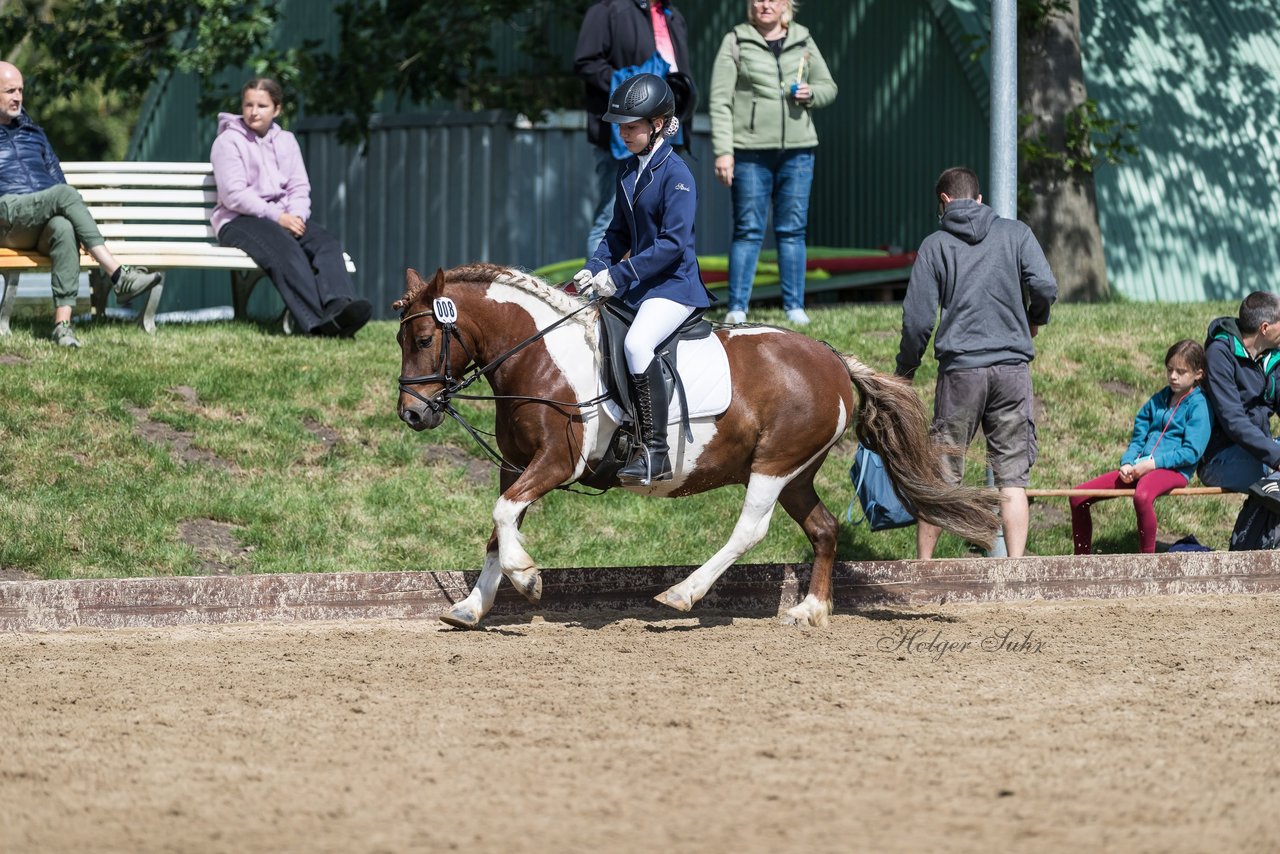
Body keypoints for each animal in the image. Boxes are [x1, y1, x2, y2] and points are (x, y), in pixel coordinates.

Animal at [394, 263, 1003, 632]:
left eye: (424, 338)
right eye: (401, 339)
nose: (413, 413)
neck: (541, 356)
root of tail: (832, 357)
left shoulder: (554, 463)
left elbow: (503, 517)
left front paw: (527, 577)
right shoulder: (516, 465)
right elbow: (497, 527)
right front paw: (471, 606)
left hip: (773, 466)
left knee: (750, 530)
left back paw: (682, 595)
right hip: (796, 472)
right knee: (824, 528)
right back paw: (810, 609)